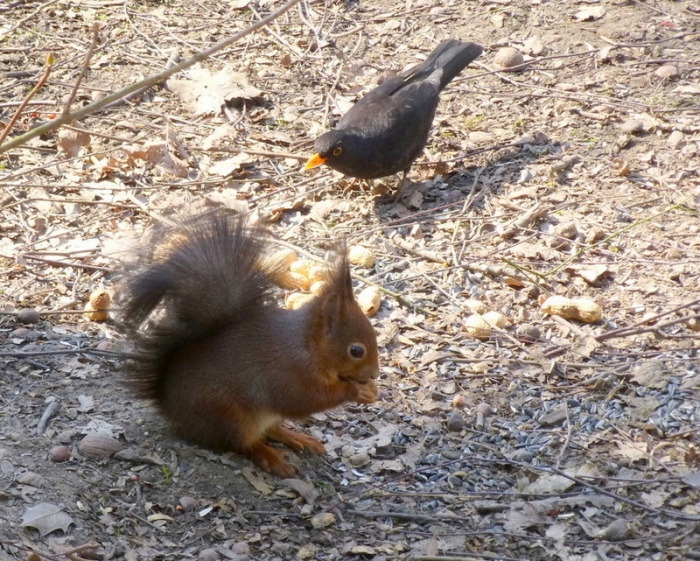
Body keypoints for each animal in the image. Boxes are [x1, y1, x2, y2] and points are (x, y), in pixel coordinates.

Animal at [120, 211, 380, 477]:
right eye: (356, 350)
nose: (374, 374)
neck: (307, 345)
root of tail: (171, 408)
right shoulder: (289, 371)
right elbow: (304, 400)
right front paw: (356, 391)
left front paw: (370, 389)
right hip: (230, 417)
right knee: (244, 443)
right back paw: (271, 457)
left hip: (261, 417)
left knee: (272, 429)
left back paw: (296, 438)